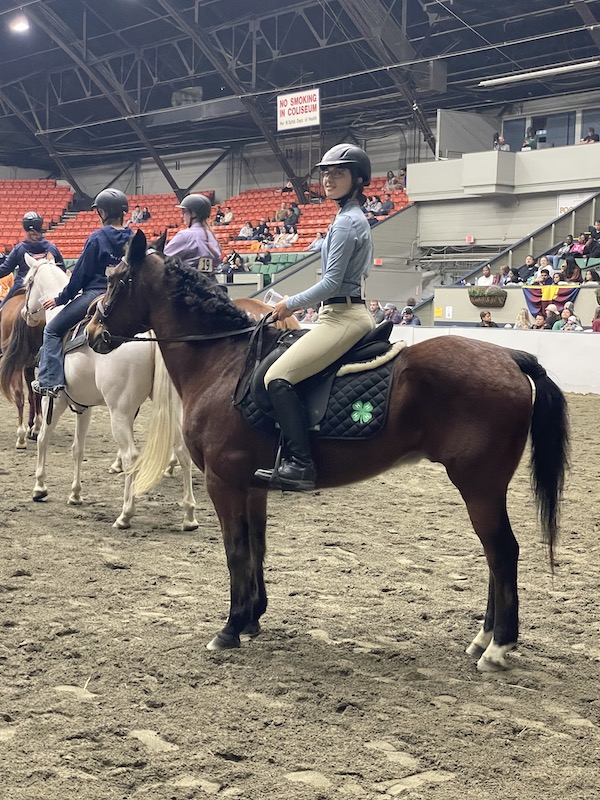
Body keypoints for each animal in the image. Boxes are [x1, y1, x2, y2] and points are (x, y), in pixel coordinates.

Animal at [0, 290, 43, 446]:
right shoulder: (29, 366)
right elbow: (33, 395)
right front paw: (34, 427)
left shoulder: (26, 366)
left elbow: (31, 395)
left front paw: (31, 427)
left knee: (20, 395)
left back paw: (22, 435)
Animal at [15, 256, 197, 532]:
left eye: (28, 283)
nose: (25, 314)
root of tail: (149, 333)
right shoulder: (83, 407)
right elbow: (78, 449)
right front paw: (75, 494)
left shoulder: (53, 400)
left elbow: (44, 438)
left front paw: (40, 487)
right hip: (171, 407)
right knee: (182, 451)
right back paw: (189, 515)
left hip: (119, 412)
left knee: (131, 457)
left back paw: (125, 514)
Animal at [86, 228, 568, 672]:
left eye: (117, 279)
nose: (92, 332)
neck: (223, 364)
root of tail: (509, 357)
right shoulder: (252, 486)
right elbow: (257, 546)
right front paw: (252, 619)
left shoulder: (223, 483)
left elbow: (235, 550)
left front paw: (230, 628)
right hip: (483, 488)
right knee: (493, 555)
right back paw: (483, 638)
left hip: (480, 486)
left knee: (502, 552)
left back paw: (498, 647)